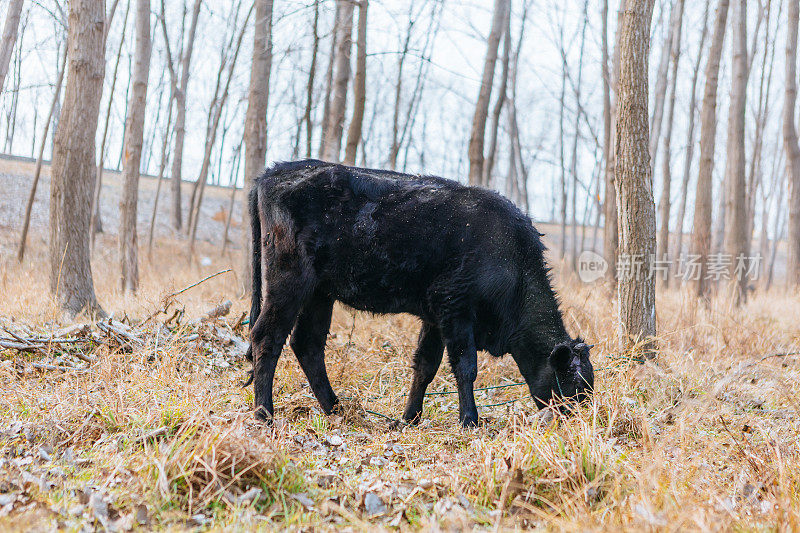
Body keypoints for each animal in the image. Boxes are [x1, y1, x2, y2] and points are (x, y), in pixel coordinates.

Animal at [248, 160, 592, 426]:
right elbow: (465, 367)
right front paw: (470, 420)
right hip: (289, 282)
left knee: (308, 344)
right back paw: (265, 414)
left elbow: (426, 365)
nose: (584, 420)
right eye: (573, 384)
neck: (510, 258)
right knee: (267, 337)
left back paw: (338, 410)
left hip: (320, 293)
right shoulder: (455, 309)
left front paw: (409, 418)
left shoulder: (435, 316)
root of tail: (273, 172)